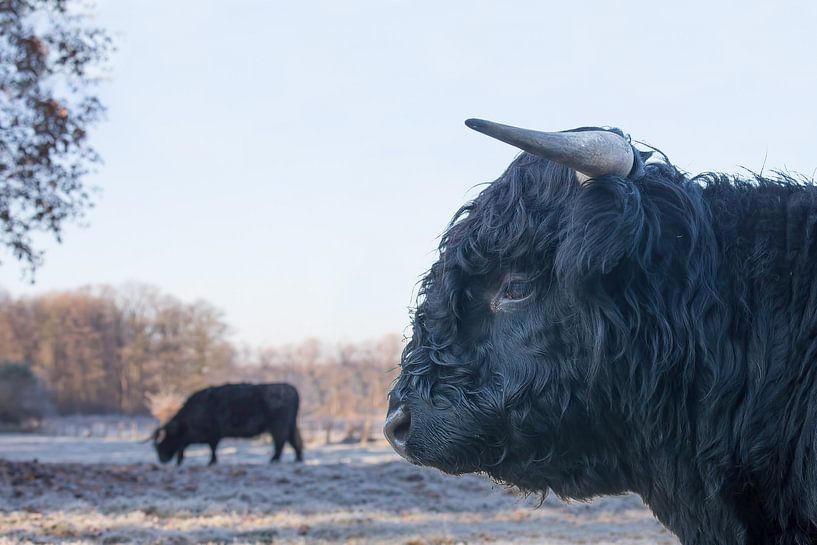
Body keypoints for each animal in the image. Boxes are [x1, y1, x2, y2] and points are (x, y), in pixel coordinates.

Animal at [151, 382, 302, 464]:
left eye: (163, 443)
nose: (162, 459)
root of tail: (291, 389)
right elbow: (183, 448)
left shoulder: (213, 434)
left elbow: (212, 449)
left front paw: (211, 462)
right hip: (290, 424)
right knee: (295, 441)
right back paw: (298, 459)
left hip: (278, 426)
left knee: (280, 442)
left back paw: (274, 460)